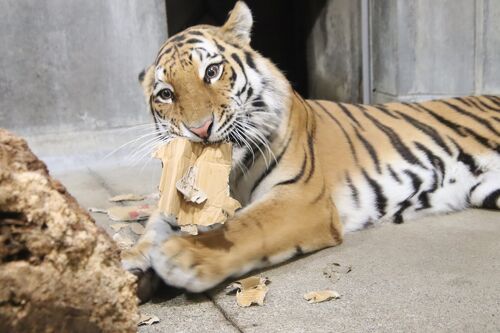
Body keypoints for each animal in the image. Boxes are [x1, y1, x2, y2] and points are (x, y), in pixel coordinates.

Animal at [122, 1, 500, 296]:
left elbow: (247, 226)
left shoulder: (300, 198)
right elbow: (156, 222)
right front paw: (130, 261)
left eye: (212, 71)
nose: (200, 129)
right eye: (166, 94)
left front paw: (183, 255)